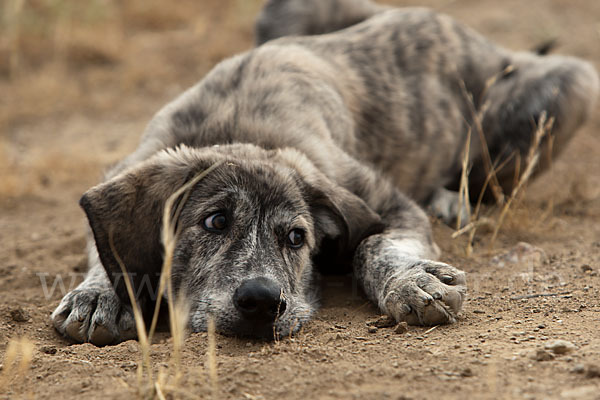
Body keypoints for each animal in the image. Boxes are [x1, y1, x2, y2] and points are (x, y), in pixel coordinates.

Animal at [50, 0, 596, 346]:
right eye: (215, 222)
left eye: (297, 238)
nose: (262, 302)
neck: (234, 125)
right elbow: (104, 247)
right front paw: (98, 295)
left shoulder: (383, 201)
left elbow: (375, 245)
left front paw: (412, 281)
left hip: (568, 87)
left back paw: (450, 199)